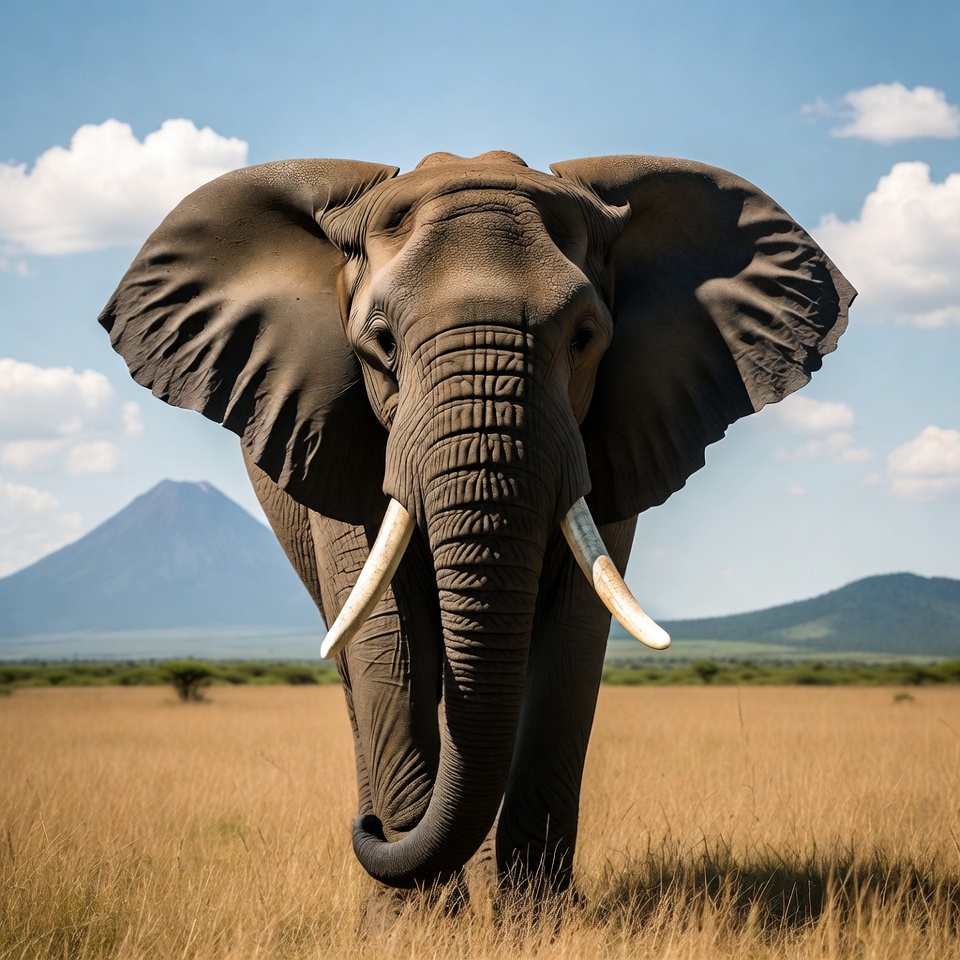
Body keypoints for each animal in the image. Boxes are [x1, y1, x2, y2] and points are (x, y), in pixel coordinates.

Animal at [99, 150, 854, 896]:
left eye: (584, 338)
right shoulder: (331, 438)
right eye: (380, 342)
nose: (369, 829)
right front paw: (415, 915)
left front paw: (532, 917)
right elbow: (388, 643)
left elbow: (570, 643)